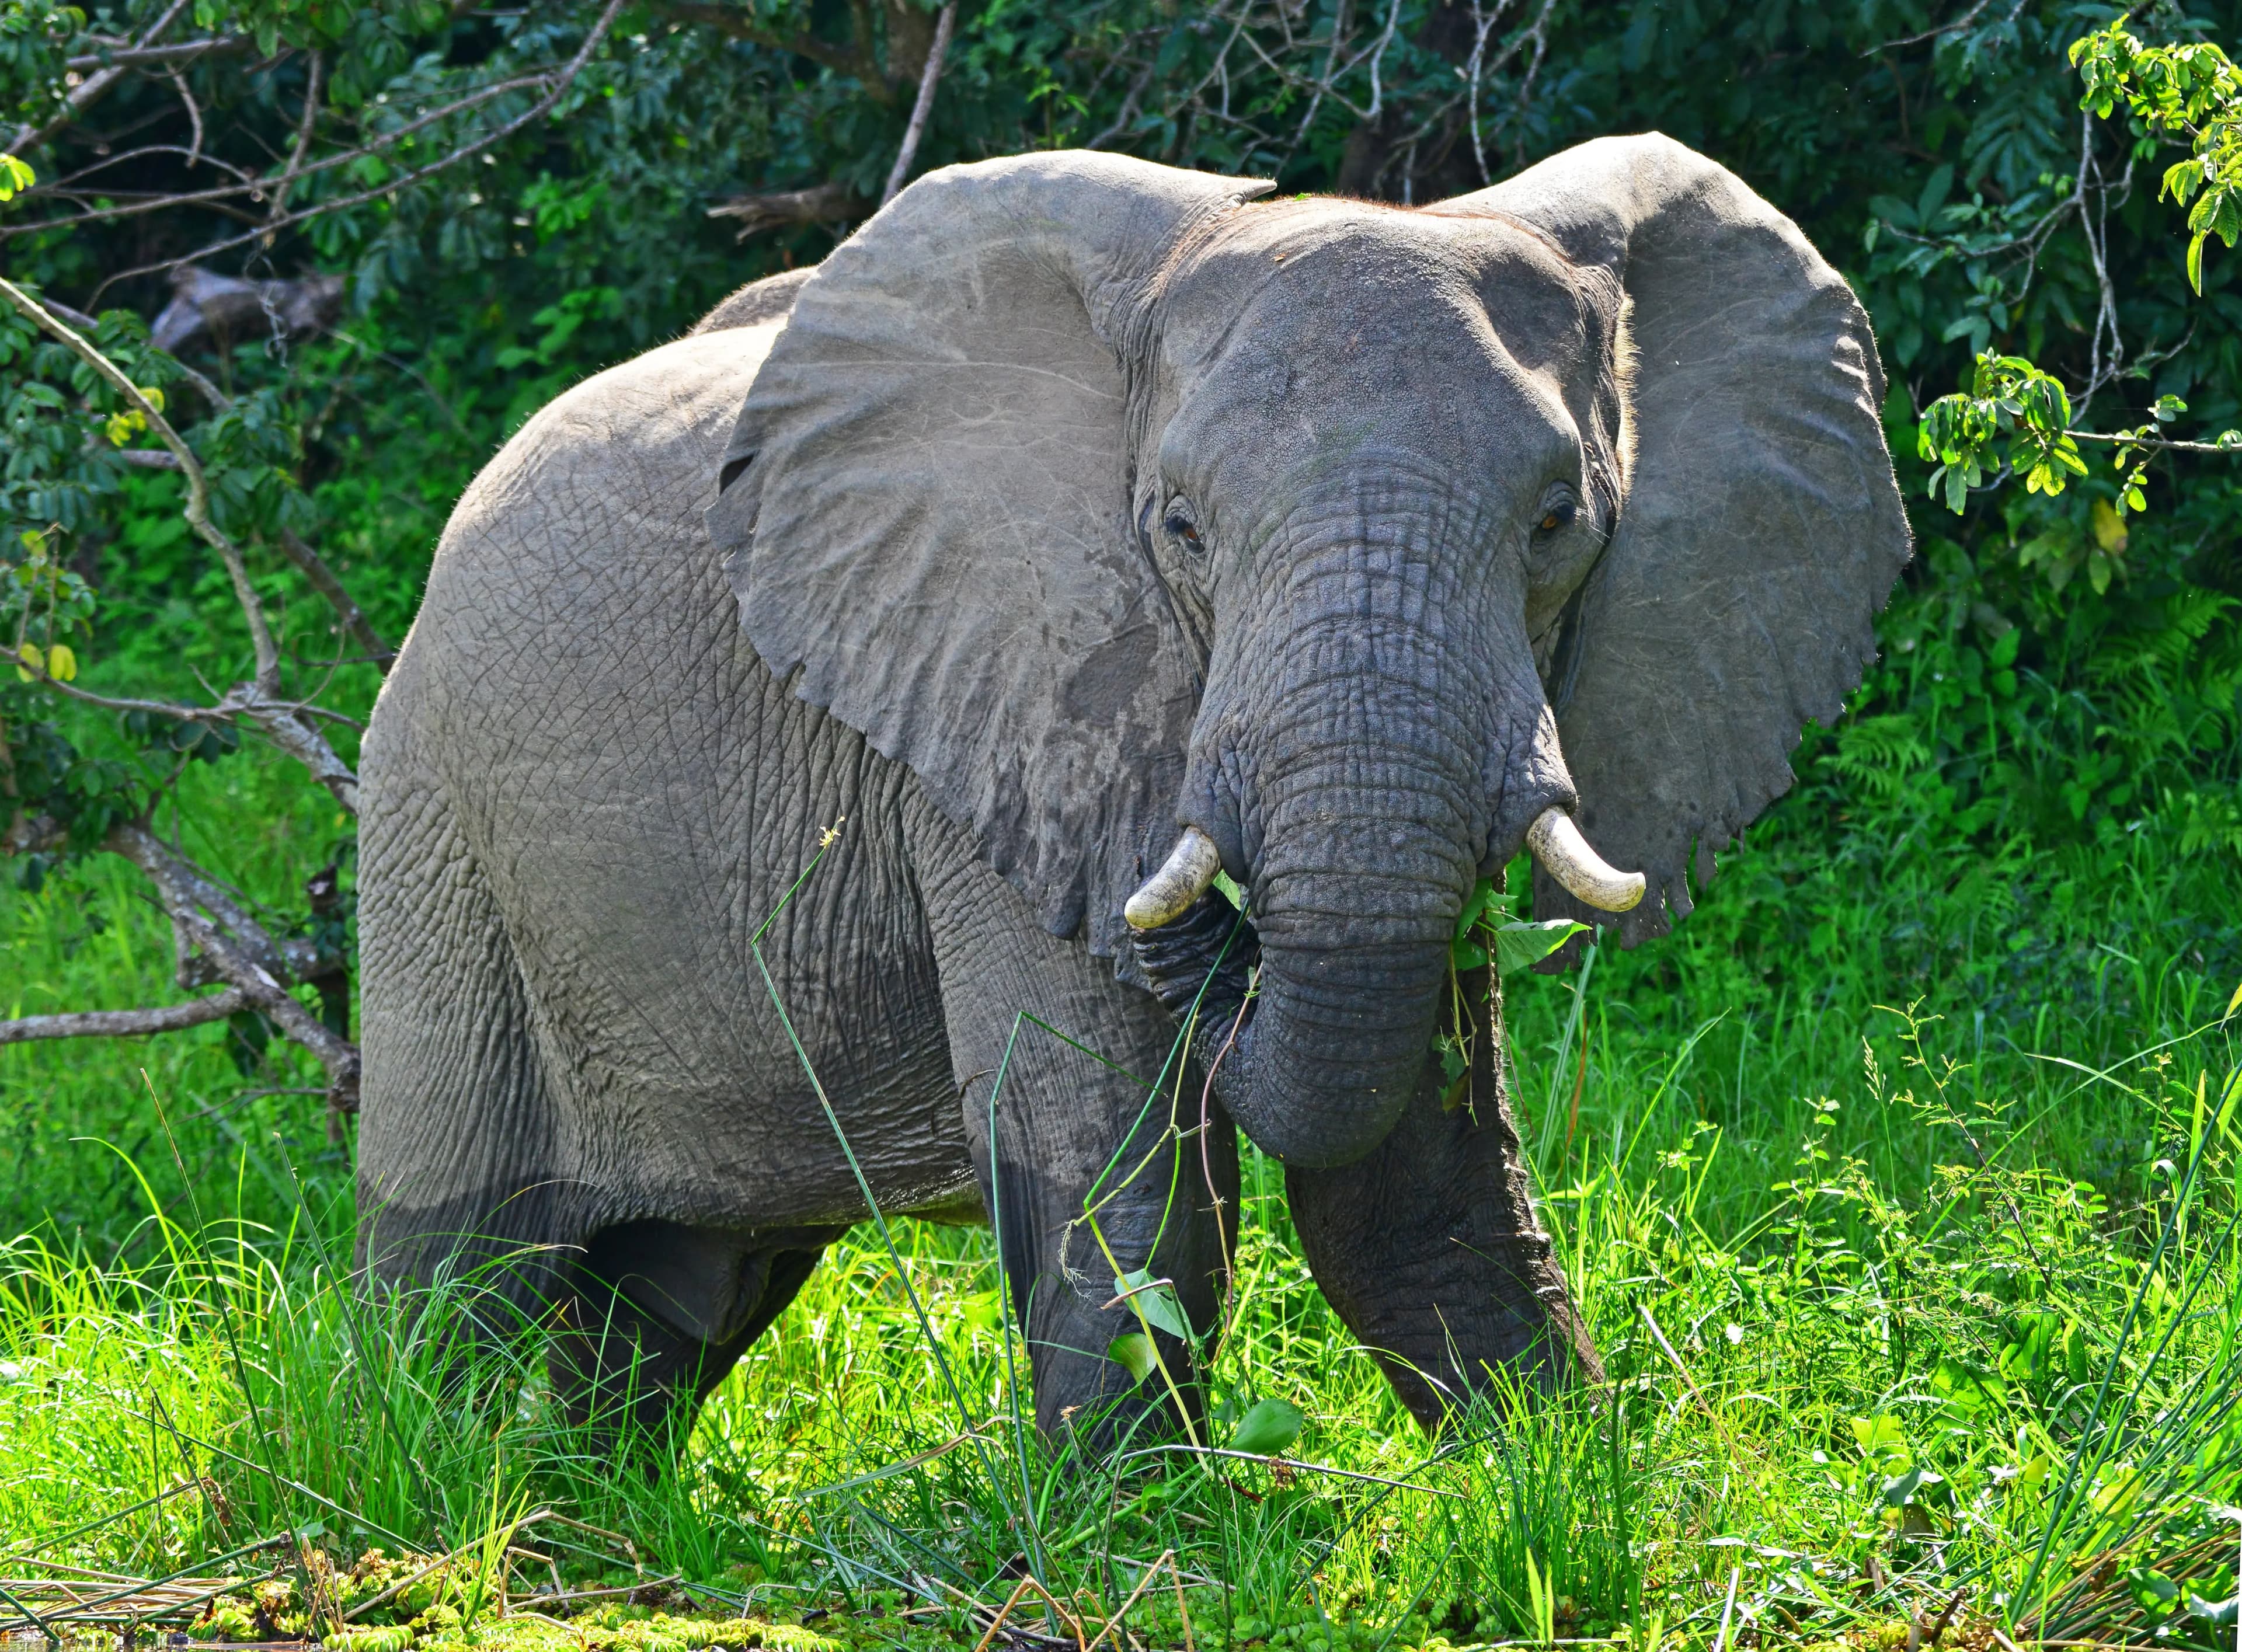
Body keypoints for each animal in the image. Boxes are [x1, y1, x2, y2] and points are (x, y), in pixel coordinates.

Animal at [356, 133, 1910, 1450]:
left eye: (1557, 522)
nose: (1212, 931)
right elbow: (1125, 1180)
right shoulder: (1001, 716)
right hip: (433, 832)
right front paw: (1141, 1554)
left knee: (681, 1287)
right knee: (456, 1268)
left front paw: (1564, 1485)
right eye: (1179, 528)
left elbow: (1414, 1182)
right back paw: (441, 1497)